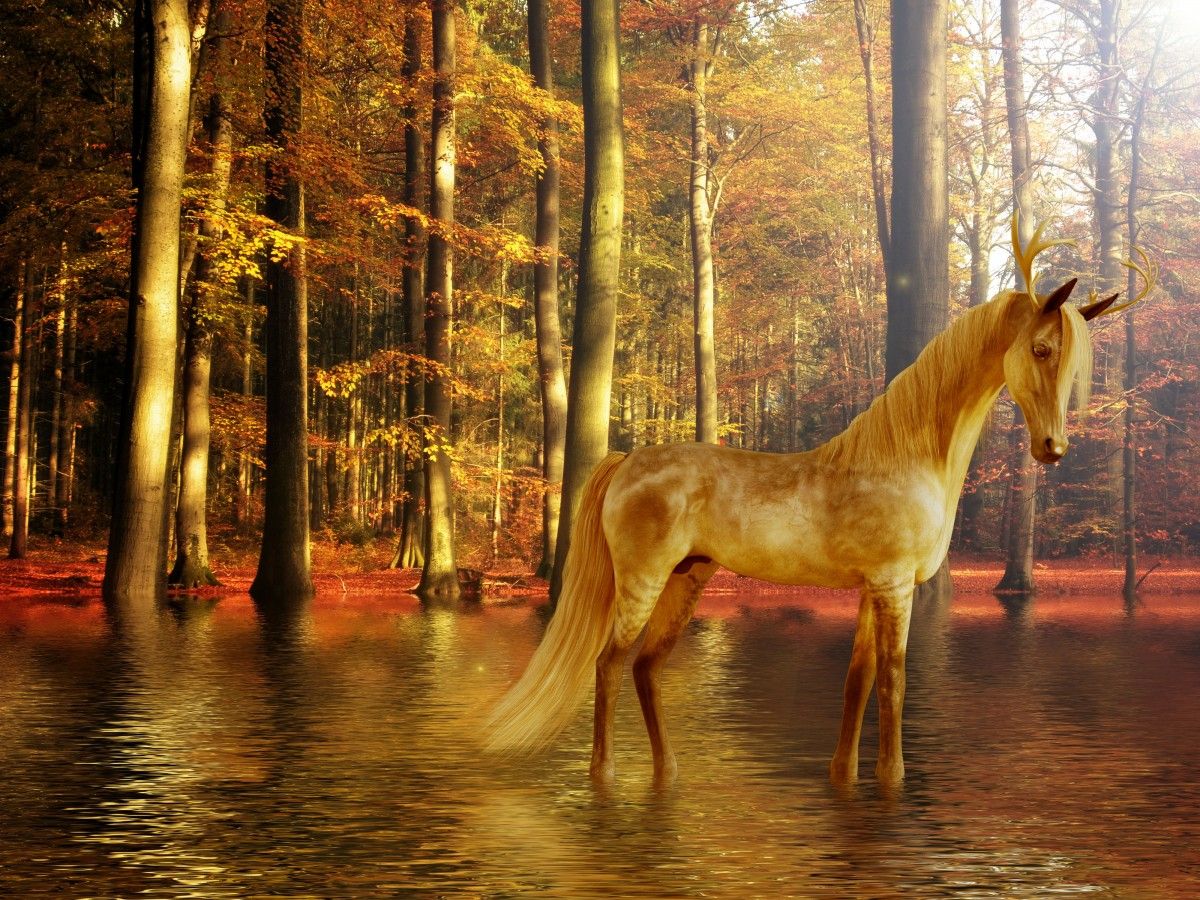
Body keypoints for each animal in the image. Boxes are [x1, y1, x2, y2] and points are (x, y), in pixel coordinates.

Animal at [486, 220, 1152, 786]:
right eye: (1040, 349)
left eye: (1071, 362)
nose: (1052, 448)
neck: (905, 458)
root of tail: (628, 460)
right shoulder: (893, 585)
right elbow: (893, 683)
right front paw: (892, 779)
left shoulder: (872, 589)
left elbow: (857, 683)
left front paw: (844, 776)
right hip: (642, 580)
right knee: (608, 664)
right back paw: (603, 778)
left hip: (687, 579)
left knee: (646, 668)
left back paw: (668, 774)